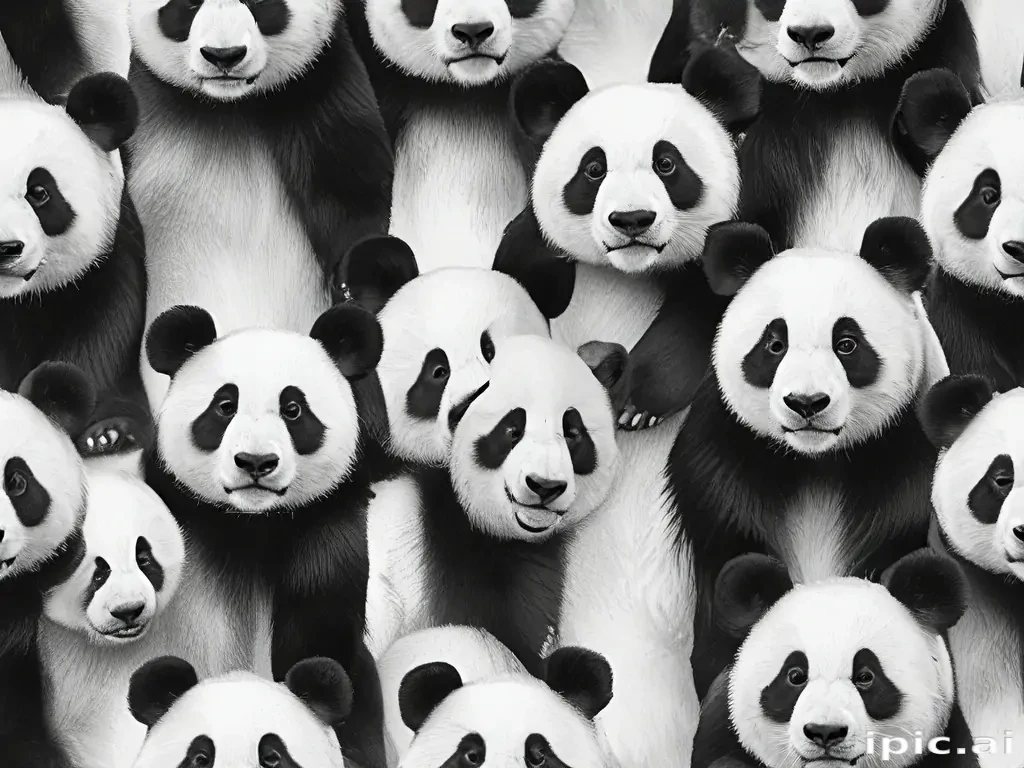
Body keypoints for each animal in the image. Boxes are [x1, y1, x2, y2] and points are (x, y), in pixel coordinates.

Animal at [127, 0, 394, 410]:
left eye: (261, 4)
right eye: (187, 5)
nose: (224, 55)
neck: (228, 106)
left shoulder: (323, 88)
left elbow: (355, 192)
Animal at [668, 216, 948, 701]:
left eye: (847, 344)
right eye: (774, 344)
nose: (806, 403)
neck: (815, 463)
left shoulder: (902, 456)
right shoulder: (723, 457)